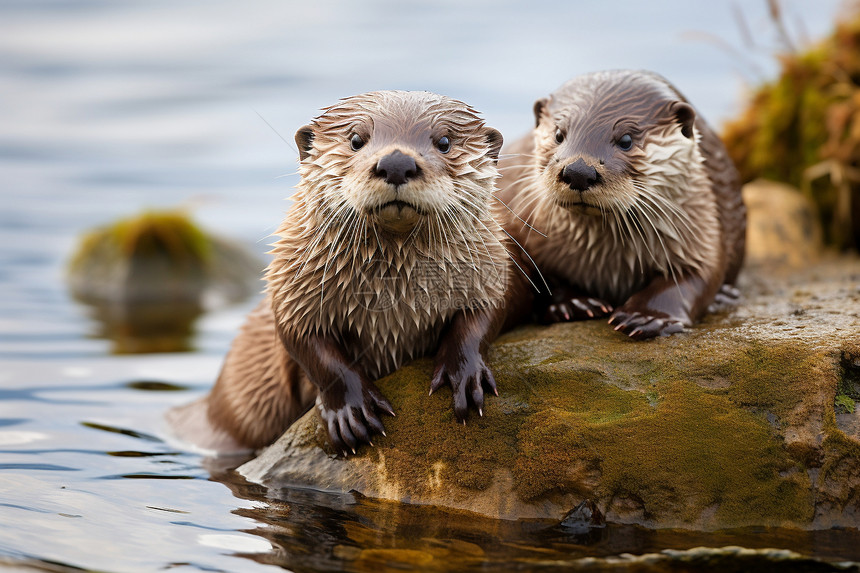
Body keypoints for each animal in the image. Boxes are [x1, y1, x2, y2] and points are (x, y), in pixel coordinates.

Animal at [168, 91, 532, 454]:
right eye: (356, 139)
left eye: (444, 142)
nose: (396, 163)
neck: (393, 301)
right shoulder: (294, 290)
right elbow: (310, 348)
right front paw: (351, 409)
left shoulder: (492, 266)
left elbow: (486, 315)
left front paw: (464, 373)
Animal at [498, 71, 744, 340]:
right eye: (558, 135)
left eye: (626, 139)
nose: (578, 171)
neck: (607, 261)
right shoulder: (524, 225)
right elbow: (540, 276)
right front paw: (574, 303)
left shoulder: (700, 224)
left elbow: (697, 276)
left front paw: (647, 316)